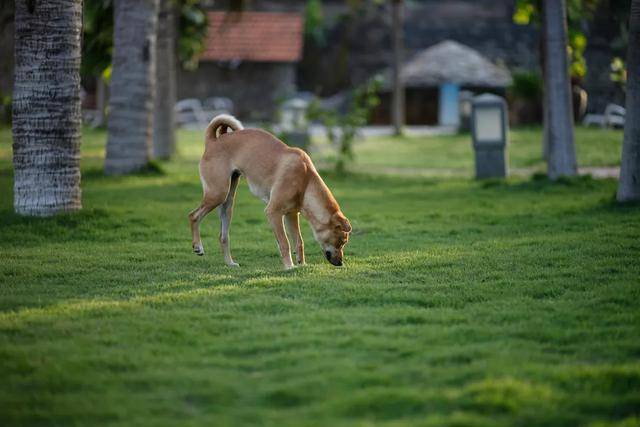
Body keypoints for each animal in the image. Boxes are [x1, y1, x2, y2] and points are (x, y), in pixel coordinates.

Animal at [188, 115, 352, 270]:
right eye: (342, 241)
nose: (340, 263)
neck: (305, 180)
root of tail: (213, 141)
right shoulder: (273, 212)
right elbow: (285, 243)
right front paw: (289, 267)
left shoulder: (291, 215)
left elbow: (299, 242)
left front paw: (302, 264)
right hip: (217, 193)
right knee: (194, 216)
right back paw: (198, 246)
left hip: (228, 203)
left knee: (223, 236)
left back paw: (229, 263)